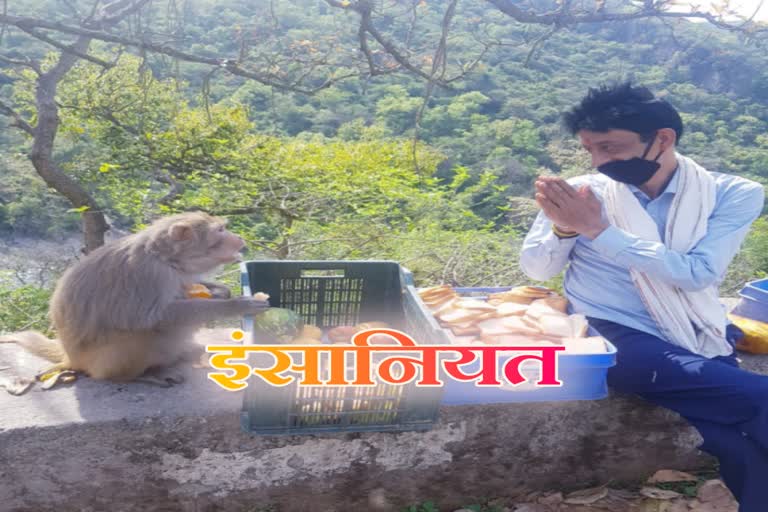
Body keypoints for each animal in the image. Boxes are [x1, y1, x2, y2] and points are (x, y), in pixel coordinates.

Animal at [0, 210, 270, 390]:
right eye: (220, 231)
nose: (238, 238)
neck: (165, 258)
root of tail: (71, 358)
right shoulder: (149, 274)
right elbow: (149, 317)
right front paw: (234, 305)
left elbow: (186, 287)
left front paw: (220, 290)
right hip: (102, 362)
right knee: (141, 337)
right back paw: (138, 376)